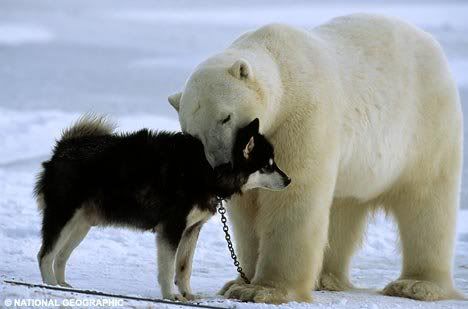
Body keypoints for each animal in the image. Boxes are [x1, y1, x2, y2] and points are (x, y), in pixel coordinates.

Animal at [36, 115, 290, 298]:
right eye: (268, 166)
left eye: (274, 163)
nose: (289, 180)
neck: (207, 168)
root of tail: (63, 148)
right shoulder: (171, 229)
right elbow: (167, 270)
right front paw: (170, 296)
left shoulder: (191, 229)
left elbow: (184, 268)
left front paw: (188, 295)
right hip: (63, 217)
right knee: (45, 255)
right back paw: (51, 285)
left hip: (81, 226)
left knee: (60, 256)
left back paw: (62, 285)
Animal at [168, 14, 464, 304]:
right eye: (193, 135)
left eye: (225, 117)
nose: (221, 166)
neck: (281, 63)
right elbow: (248, 208)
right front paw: (239, 282)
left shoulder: (302, 116)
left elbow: (294, 195)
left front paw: (263, 290)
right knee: (344, 206)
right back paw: (326, 278)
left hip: (425, 127)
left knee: (426, 202)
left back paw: (416, 285)